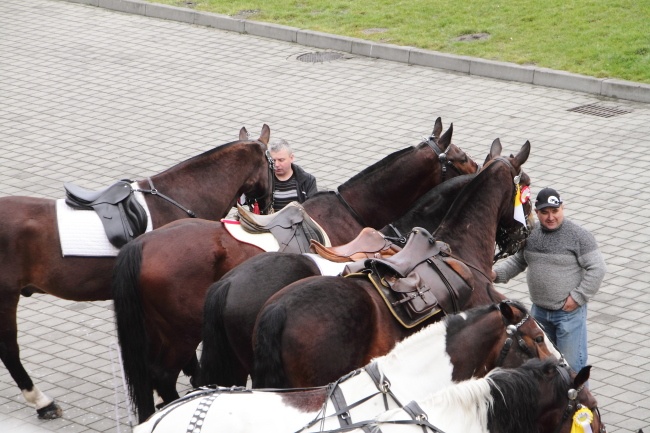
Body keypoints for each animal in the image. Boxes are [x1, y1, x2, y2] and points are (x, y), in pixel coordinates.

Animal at [0, 123, 274, 416]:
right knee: (9, 348)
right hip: (7, 296)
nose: (268, 205)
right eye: (272, 165)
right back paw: (42, 401)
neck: (177, 198)